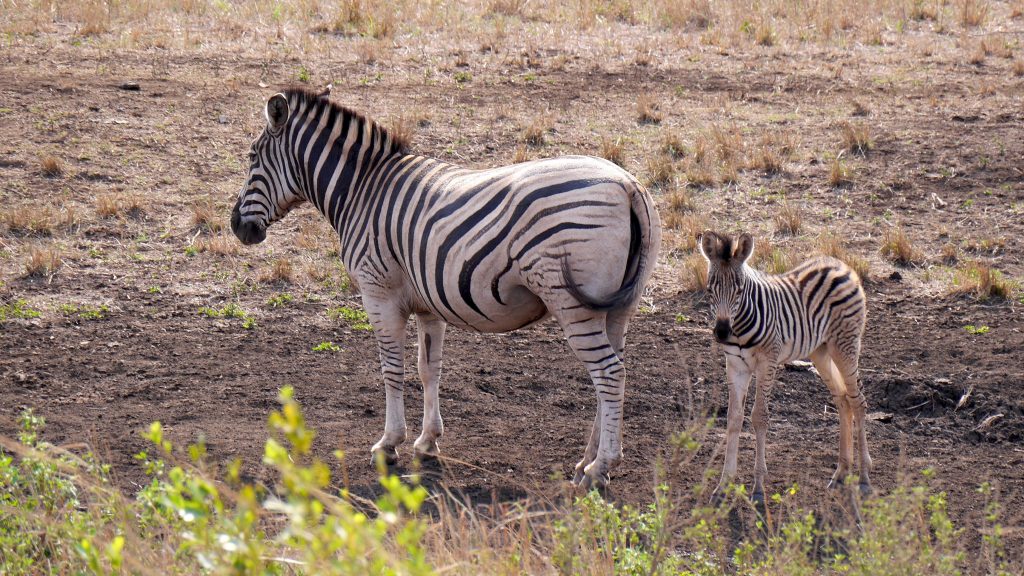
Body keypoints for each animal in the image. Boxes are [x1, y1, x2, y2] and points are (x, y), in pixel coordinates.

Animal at [230, 88, 663, 487]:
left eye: (251, 158)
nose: (237, 227)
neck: (362, 190)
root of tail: (627, 185)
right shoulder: (428, 303)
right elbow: (428, 369)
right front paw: (427, 442)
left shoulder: (378, 293)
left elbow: (392, 368)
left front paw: (389, 444)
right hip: (619, 307)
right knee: (612, 374)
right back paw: (585, 462)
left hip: (573, 303)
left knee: (608, 374)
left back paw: (601, 468)